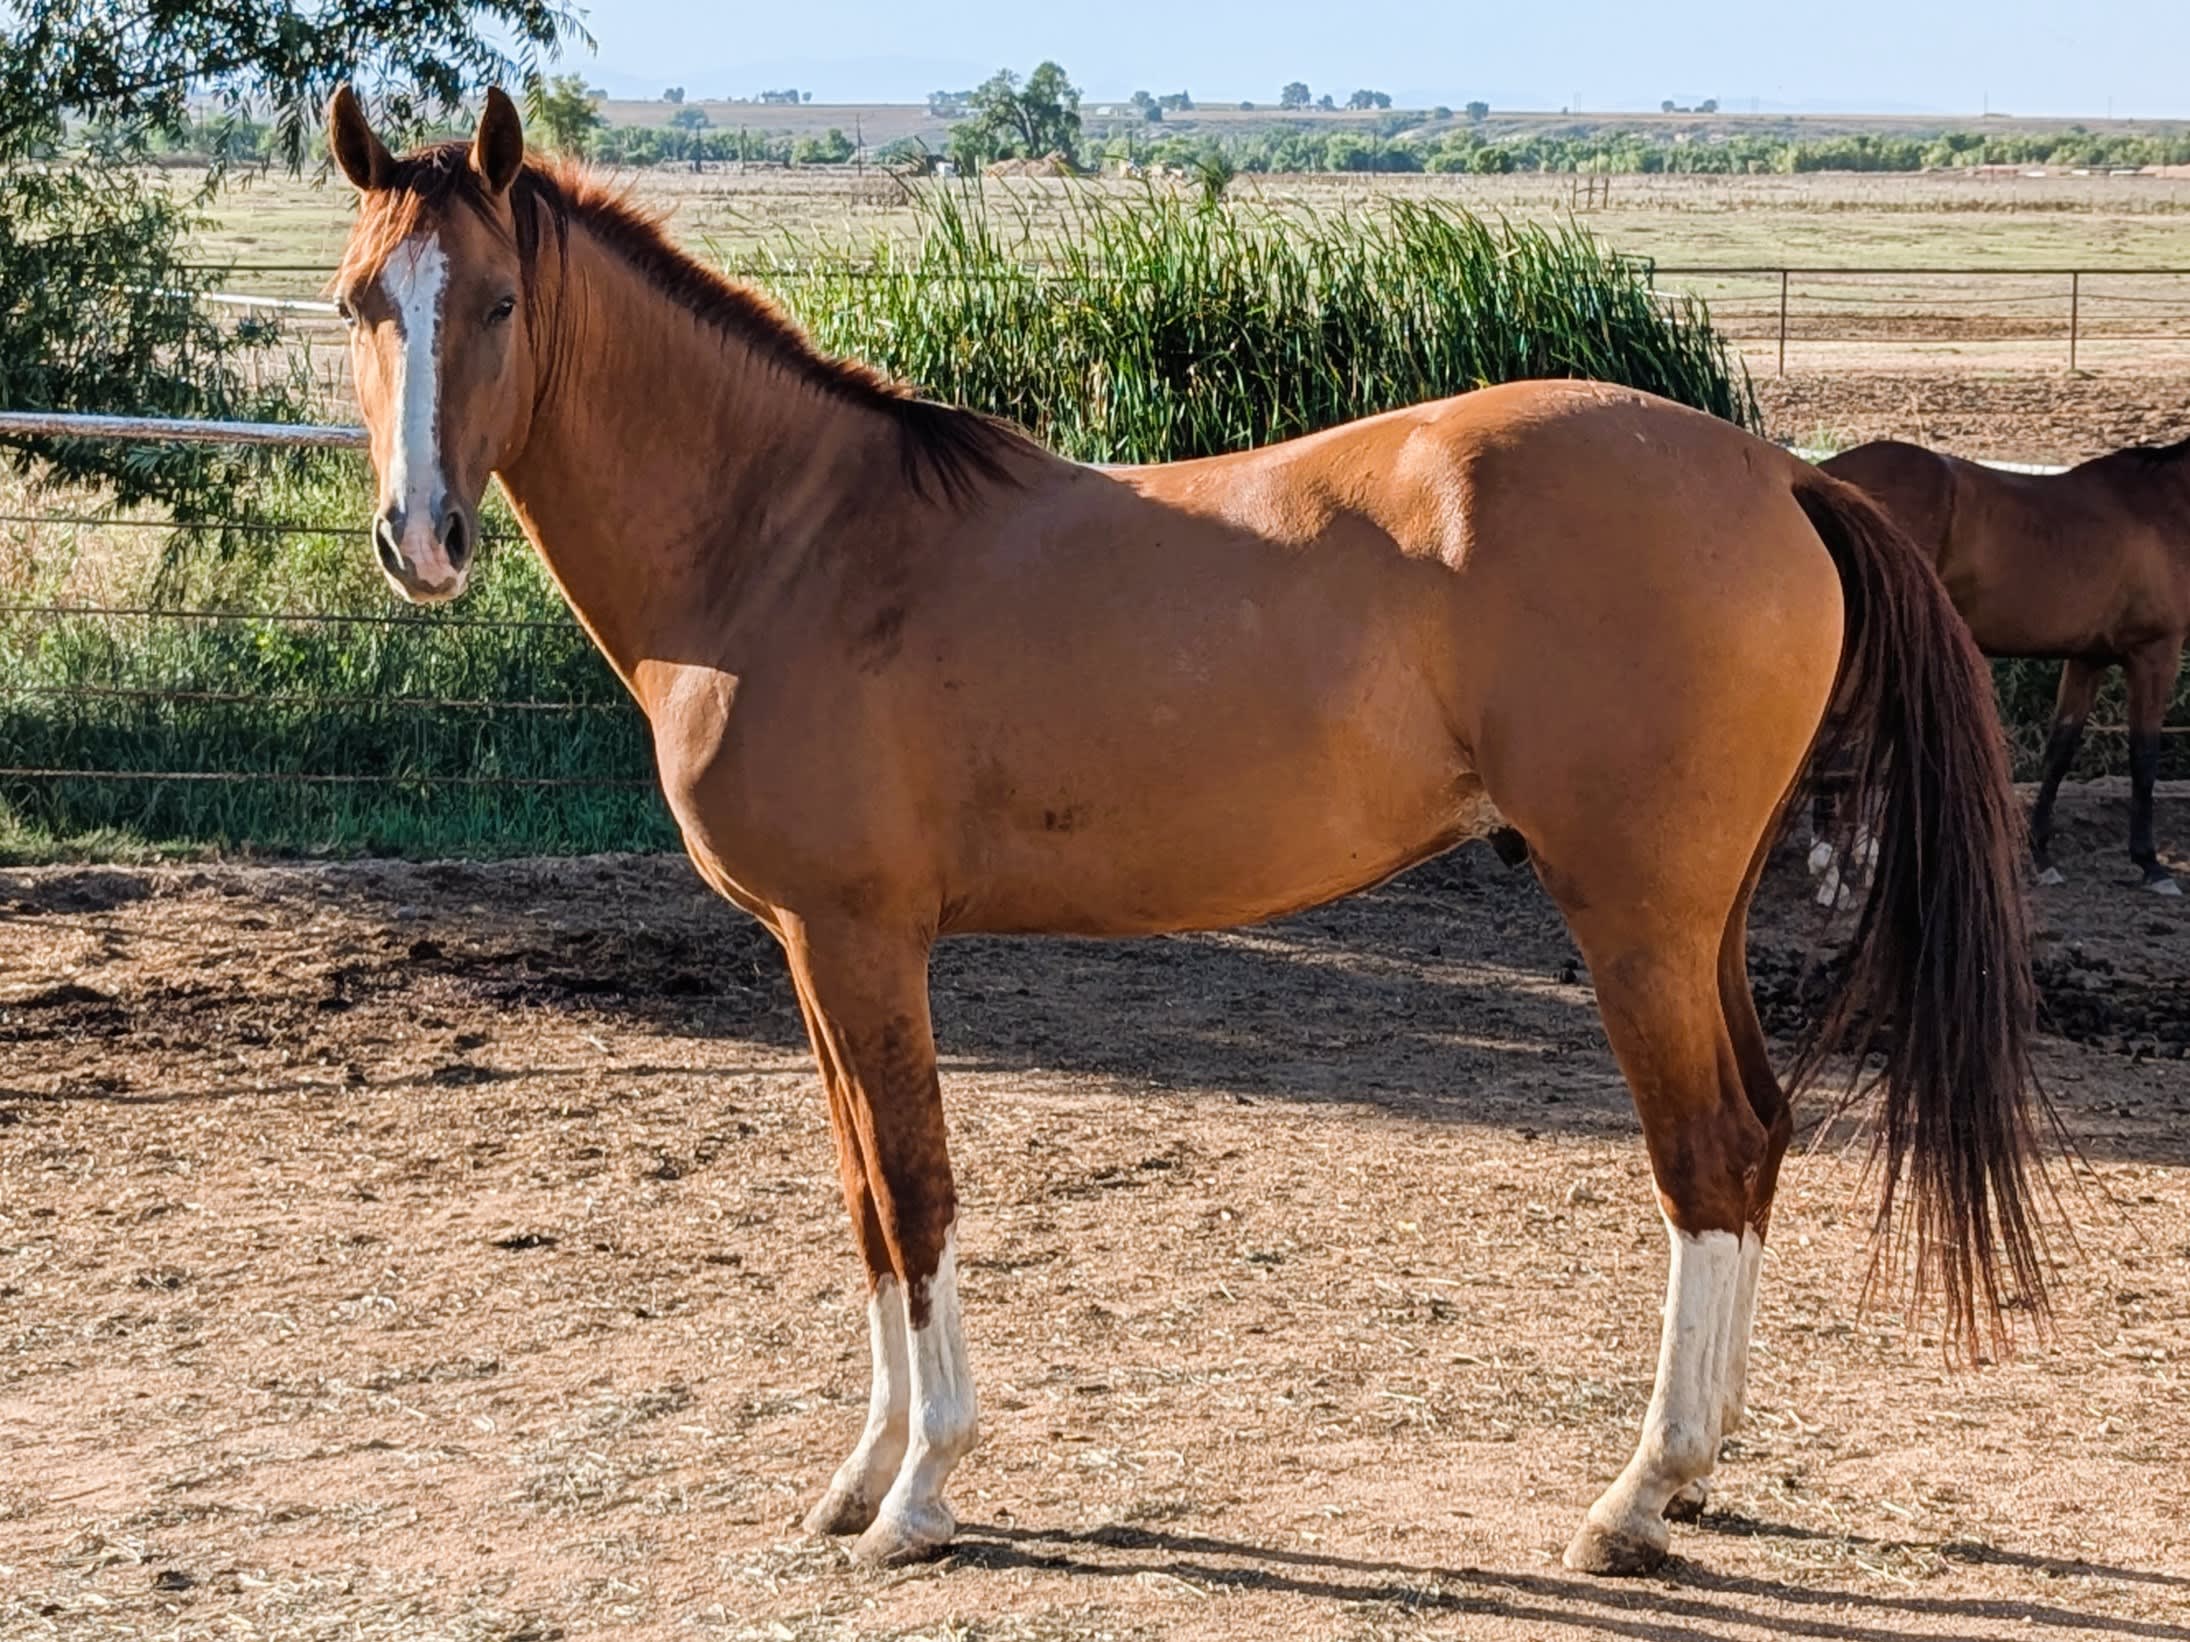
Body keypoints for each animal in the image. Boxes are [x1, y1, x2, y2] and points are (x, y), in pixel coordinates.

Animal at [326, 87, 2047, 1578]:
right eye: (360, 303)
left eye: (497, 302)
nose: (423, 539)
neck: (786, 545)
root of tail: (1772, 472)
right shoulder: (809, 953)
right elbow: (867, 1201)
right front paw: (856, 1474)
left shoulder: (863, 941)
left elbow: (916, 1190)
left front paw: (922, 1489)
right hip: (1704, 913)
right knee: (1755, 1135)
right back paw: (1699, 1470)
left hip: (1632, 912)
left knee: (1703, 1153)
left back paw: (1631, 1498)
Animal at [1823, 436, 2190, 895]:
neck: (2163, 504)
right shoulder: (2155, 653)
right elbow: (2144, 757)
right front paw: (2151, 864)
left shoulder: (2088, 658)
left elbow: (2060, 750)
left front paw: (2040, 855)